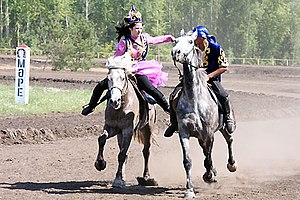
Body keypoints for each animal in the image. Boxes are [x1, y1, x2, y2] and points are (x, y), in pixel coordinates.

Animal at [94, 54, 158, 188]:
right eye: (109, 78)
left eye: (123, 78)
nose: (114, 101)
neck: (121, 108)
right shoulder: (112, 127)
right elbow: (102, 139)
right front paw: (100, 163)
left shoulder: (128, 130)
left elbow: (122, 154)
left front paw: (118, 180)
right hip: (120, 135)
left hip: (148, 128)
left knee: (146, 152)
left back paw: (146, 177)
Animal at [171, 30, 237, 198]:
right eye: (175, 41)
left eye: (190, 41)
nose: (175, 52)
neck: (194, 98)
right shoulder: (184, 132)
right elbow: (187, 161)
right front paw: (189, 190)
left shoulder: (209, 133)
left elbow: (208, 157)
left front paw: (209, 176)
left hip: (222, 127)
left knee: (229, 139)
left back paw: (231, 164)